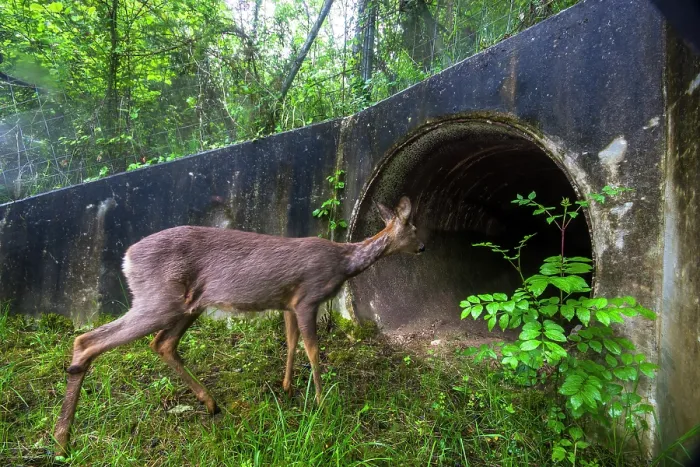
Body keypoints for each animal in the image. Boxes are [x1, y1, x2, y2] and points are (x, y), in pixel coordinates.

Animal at [54, 196, 424, 454]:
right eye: (414, 227)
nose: (423, 246)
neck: (344, 263)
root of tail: (127, 258)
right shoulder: (308, 297)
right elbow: (313, 349)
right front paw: (322, 403)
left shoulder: (287, 303)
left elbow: (291, 342)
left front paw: (288, 388)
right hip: (157, 300)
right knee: (87, 341)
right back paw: (62, 439)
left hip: (187, 305)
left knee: (162, 343)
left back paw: (211, 403)